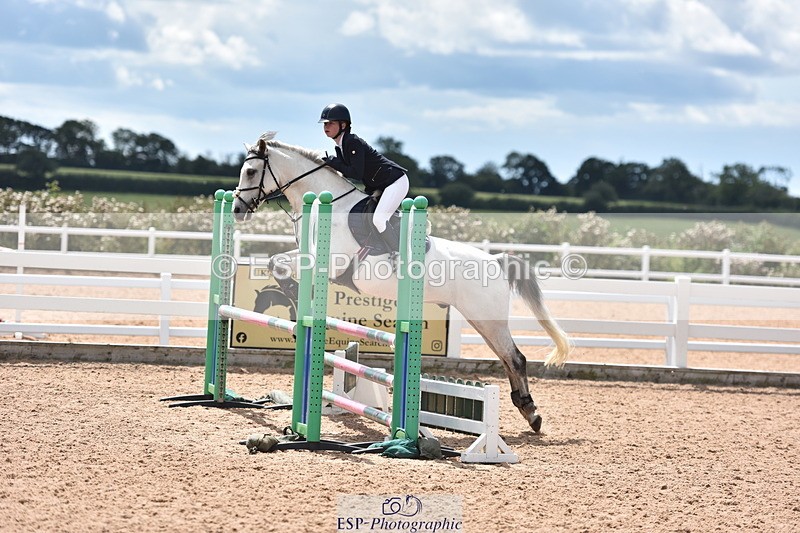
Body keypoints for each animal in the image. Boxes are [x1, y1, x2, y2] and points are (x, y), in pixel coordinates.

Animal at [233, 132, 571, 433]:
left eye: (250, 171)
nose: (236, 209)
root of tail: (497, 261)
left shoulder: (330, 264)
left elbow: (282, 266)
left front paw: (293, 293)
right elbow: (275, 261)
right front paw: (292, 295)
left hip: (488, 318)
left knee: (515, 358)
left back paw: (532, 414)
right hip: (481, 319)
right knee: (505, 358)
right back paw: (526, 410)